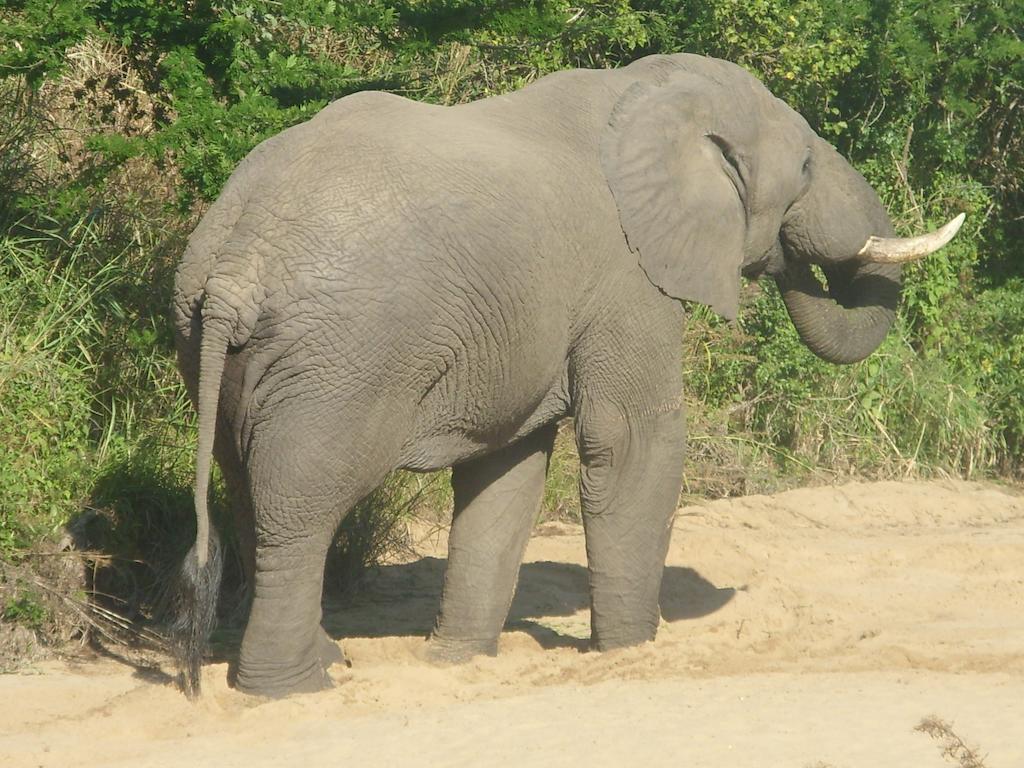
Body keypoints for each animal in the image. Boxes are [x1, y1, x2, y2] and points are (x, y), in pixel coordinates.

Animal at [172, 51, 962, 700]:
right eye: (802, 170)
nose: (788, 256)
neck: (650, 91)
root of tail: (237, 263)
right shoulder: (627, 275)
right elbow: (634, 442)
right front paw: (632, 654)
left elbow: (508, 471)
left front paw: (458, 660)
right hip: (344, 357)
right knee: (300, 503)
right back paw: (292, 687)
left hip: (216, 341)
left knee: (246, 489)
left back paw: (324, 661)